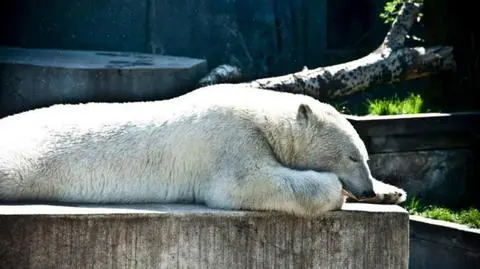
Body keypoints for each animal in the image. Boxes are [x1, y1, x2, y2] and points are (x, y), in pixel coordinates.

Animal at [0, 84, 404, 216]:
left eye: (366, 158)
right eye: (351, 156)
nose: (367, 188)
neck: (263, 115)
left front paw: (392, 192)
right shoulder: (229, 139)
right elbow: (245, 183)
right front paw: (337, 191)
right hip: (28, 159)